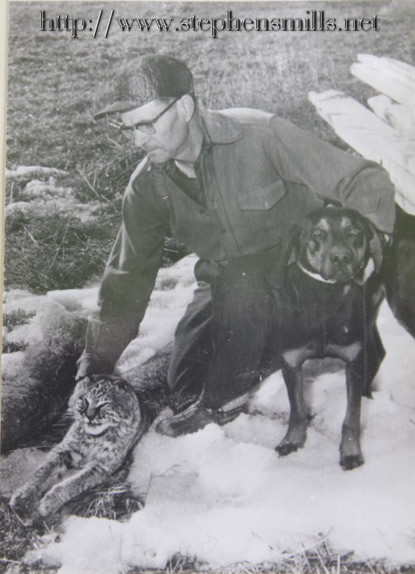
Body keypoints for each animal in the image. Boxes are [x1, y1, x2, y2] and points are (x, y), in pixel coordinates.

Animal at [272, 209, 386, 470]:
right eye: (318, 233)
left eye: (354, 231)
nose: (341, 258)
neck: (325, 298)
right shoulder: (291, 361)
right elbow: (296, 409)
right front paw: (292, 441)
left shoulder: (353, 359)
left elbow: (352, 417)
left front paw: (351, 452)